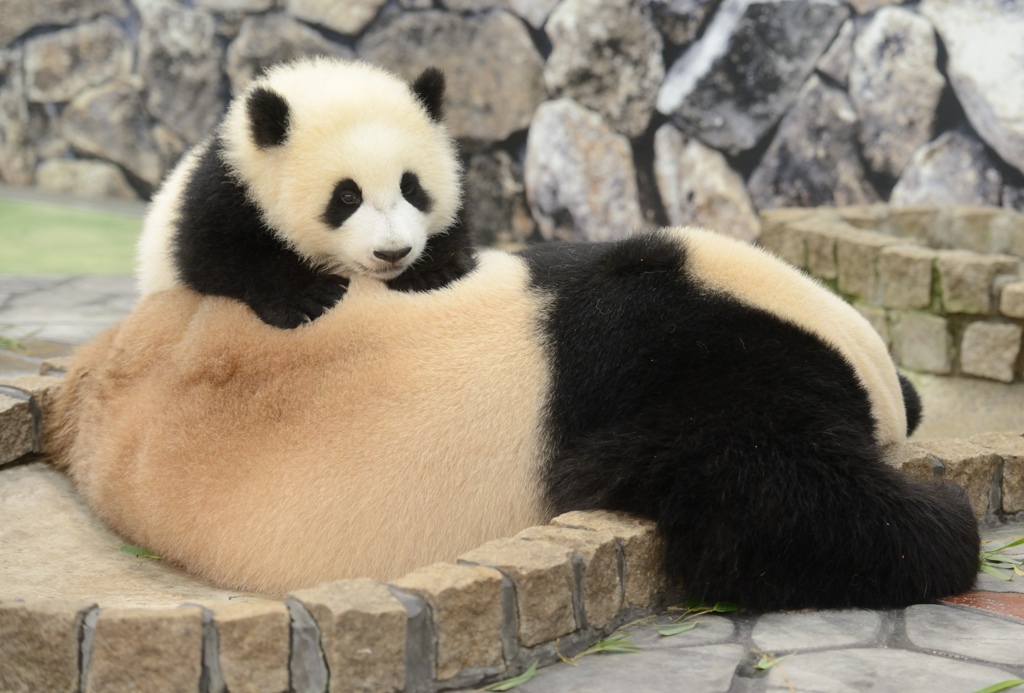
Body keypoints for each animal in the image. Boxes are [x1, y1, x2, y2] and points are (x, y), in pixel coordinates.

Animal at [134, 58, 473, 327]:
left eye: (410, 187)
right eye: (347, 197)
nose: (393, 252)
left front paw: (432, 272)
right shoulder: (226, 192)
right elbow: (214, 256)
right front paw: (309, 297)